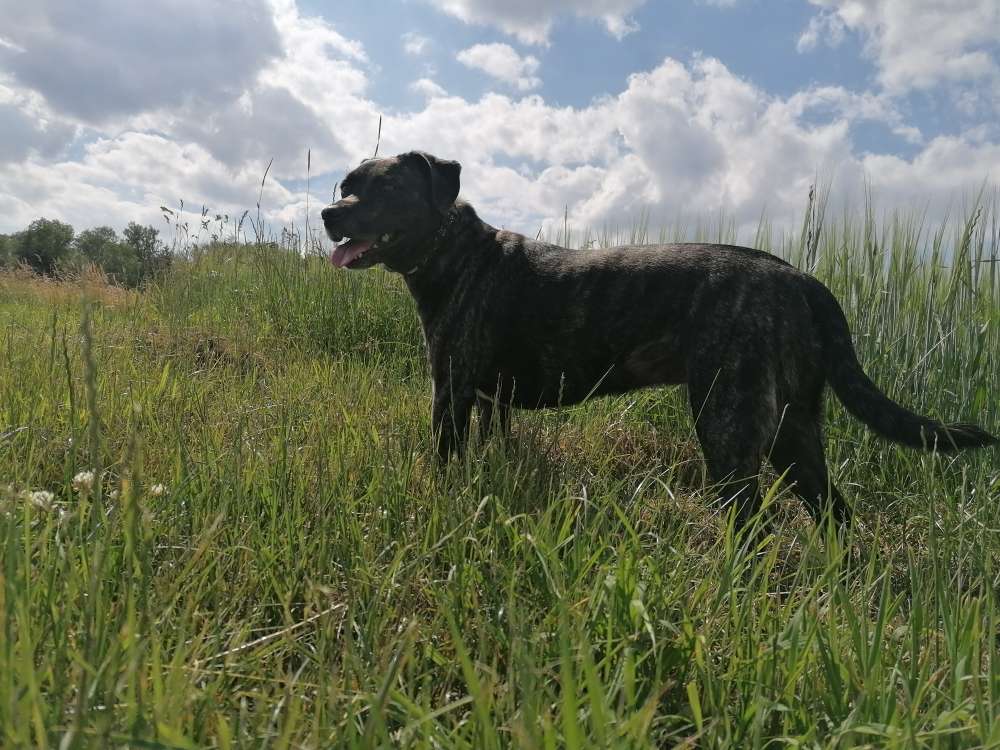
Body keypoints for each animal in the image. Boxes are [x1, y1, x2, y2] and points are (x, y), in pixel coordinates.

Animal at [324, 150, 996, 532]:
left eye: (387, 188)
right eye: (345, 183)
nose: (330, 213)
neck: (452, 251)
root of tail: (801, 278)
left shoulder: (452, 391)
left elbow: (442, 463)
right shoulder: (491, 402)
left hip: (728, 421)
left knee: (752, 524)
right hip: (794, 428)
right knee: (835, 515)